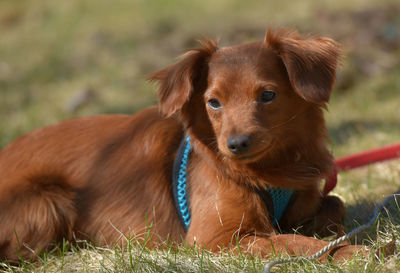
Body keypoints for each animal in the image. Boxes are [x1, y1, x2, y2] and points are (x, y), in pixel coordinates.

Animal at [0, 28, 366, 262]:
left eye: (267, 95)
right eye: (213, 102)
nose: (236, 144)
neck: (270, 171)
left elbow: (334, 204)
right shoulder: (216, 238)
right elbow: (288, 242)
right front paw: (348, 251)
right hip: (47, 201)